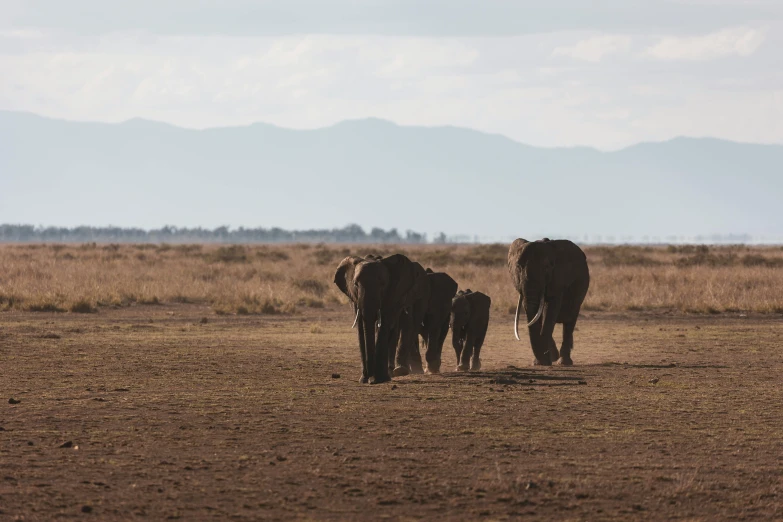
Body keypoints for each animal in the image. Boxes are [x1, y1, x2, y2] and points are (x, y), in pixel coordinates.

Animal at [332, 253, 426, 382]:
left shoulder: (392, 295)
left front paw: (380, 380)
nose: (369, 378)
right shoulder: (355, 298)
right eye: (355, 284)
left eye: (383, 284)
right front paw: (363, 380)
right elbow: (361, 327)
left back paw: (393, 372)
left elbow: (385, 323)